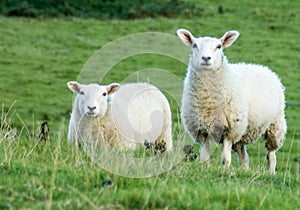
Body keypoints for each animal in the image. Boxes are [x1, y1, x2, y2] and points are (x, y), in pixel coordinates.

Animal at [177, 29, 288, 174]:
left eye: (219, 46)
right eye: (195, 45)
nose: (206, 58)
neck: (207, 100)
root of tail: (263, 68)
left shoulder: (230, 130)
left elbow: (225, 159)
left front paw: (225, 170)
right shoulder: (201, 131)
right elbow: (204, 159)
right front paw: (205, 169)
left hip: (275, 125)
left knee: (271, 155)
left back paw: (270, 172)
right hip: (243, 132)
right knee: (244, 156)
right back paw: (245, 170)